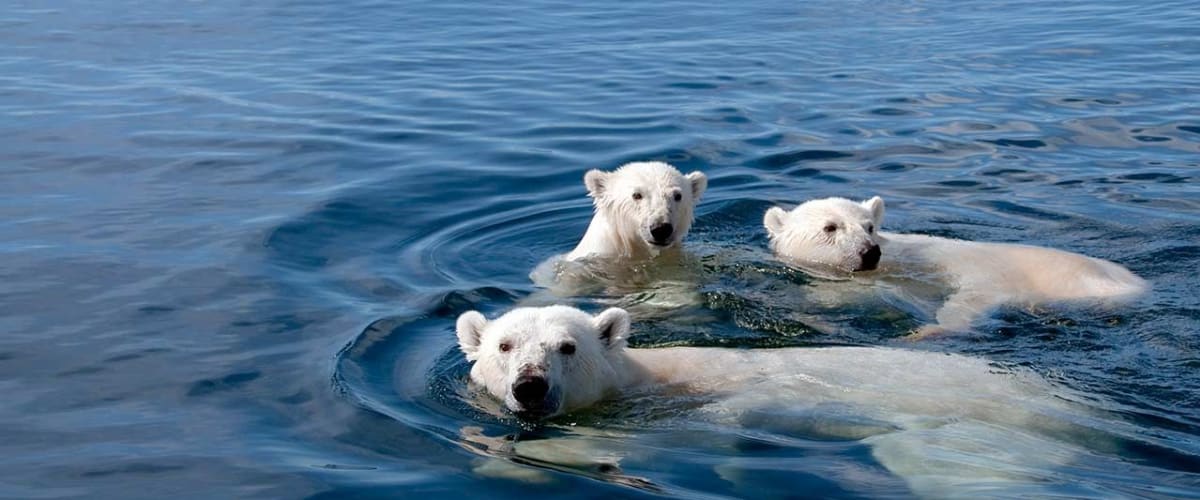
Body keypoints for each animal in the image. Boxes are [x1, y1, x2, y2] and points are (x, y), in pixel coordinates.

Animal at [453, 305, 1108, 497]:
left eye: (566, 347)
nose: (530, 386)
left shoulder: (691, 409)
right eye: (505, 346)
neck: (646, 381)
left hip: (983, 428)